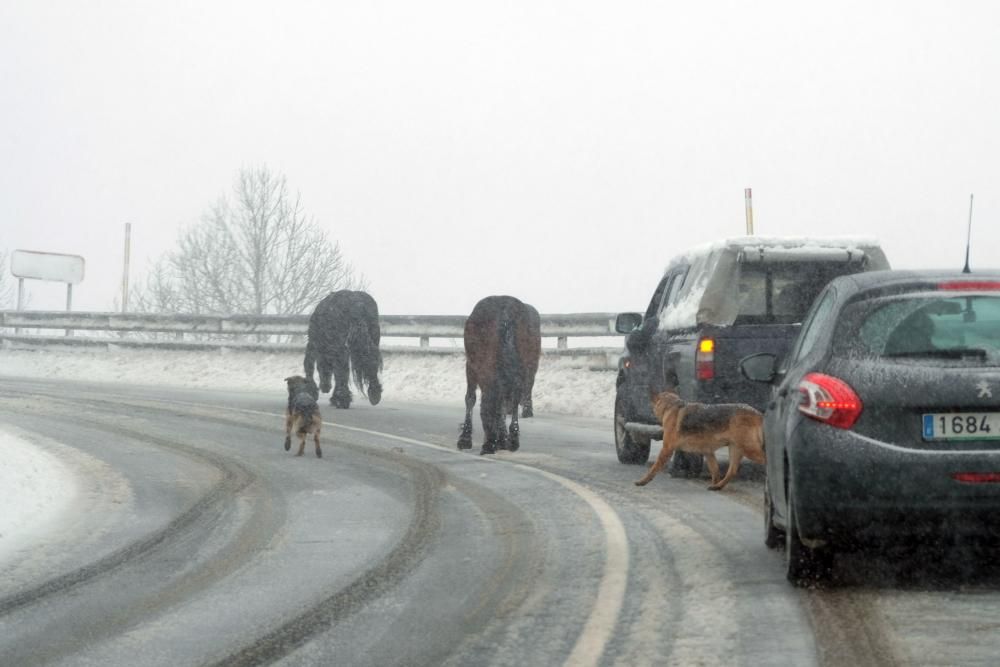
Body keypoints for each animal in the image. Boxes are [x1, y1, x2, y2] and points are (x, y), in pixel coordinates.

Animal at [458, 296, 544, 456]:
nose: (490, 446)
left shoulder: (471, 368)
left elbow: (471, 399)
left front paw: (465, 439)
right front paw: (507, 440)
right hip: (525, 367)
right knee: (516, 397)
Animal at [632, 392, 764, 490]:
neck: (672, 406)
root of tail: (757, 413)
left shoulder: (666, 449)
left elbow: (653, 468)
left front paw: (642, 481)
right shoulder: (708, 453)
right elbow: (715, 472)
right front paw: (714, 483)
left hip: (749, 449)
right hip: (735, 449)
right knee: (732, 471)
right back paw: (717, 487)